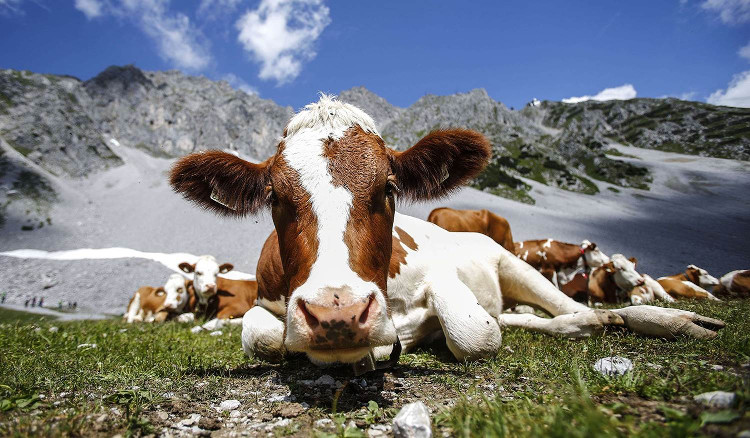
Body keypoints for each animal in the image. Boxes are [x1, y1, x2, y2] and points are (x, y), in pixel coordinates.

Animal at [169, 95, 724, 370]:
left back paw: (669, 321)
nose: (337, 314)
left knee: (574, 310)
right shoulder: (266, 305)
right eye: (275, 197)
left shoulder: (441, 279)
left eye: (389, 187)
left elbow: (475, 335)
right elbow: (261, 337)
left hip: (513, 262)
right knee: (539, 319)